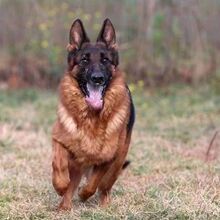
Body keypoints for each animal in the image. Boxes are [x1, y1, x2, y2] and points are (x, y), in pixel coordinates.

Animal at [51, 18, 135, 210]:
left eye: (105, 60)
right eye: (84, 60)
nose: (97, 78)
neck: (91, 118)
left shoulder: (108, 158)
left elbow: (94, 181)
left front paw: (84, 194)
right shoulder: (59, 140)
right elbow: (58, 163)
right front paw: (60, 186)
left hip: (118, 162)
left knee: (105, 186)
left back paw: (103, 203)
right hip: (77, 164)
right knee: (72, 183)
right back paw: (64, 206)